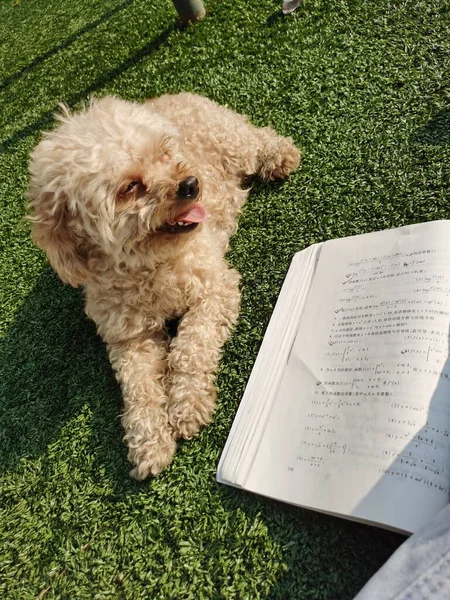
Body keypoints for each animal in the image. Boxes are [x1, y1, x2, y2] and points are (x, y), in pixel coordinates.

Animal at [27, 94, 298, 478]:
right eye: (129, 187)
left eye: (163, 154)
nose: (191, 183)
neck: (148, 267)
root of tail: (175, 95)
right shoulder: (129, 338)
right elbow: (139, 387)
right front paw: (149, 441)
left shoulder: (215, 288)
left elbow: (190, 346)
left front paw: (187, 404)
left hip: (232, 141)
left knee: (258, 138)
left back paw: (280, 155)